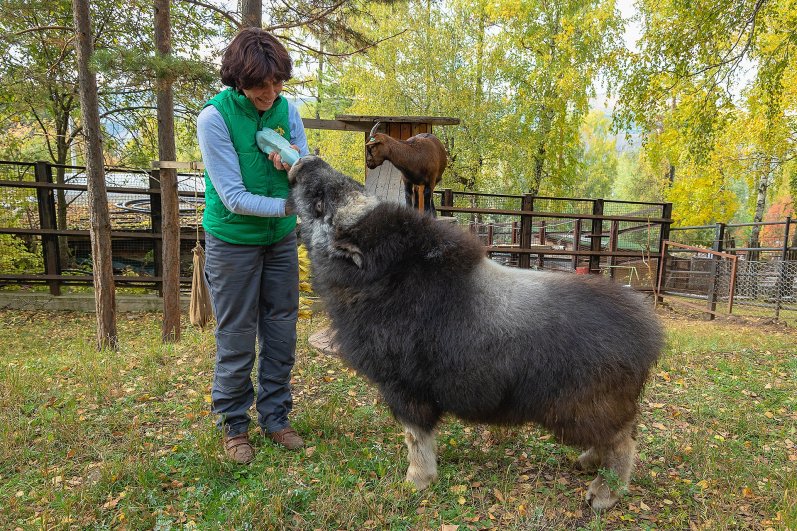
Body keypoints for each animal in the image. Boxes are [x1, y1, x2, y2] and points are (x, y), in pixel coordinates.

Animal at [290, 156, 664, 510]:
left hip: (583, 408)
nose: (305, 161)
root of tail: (647, 332)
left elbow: (415, 436)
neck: (382, 276)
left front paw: (417, 479)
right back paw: (587, 462)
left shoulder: (404, 387)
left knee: (623, 442)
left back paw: (602, 493)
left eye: (319, 204)